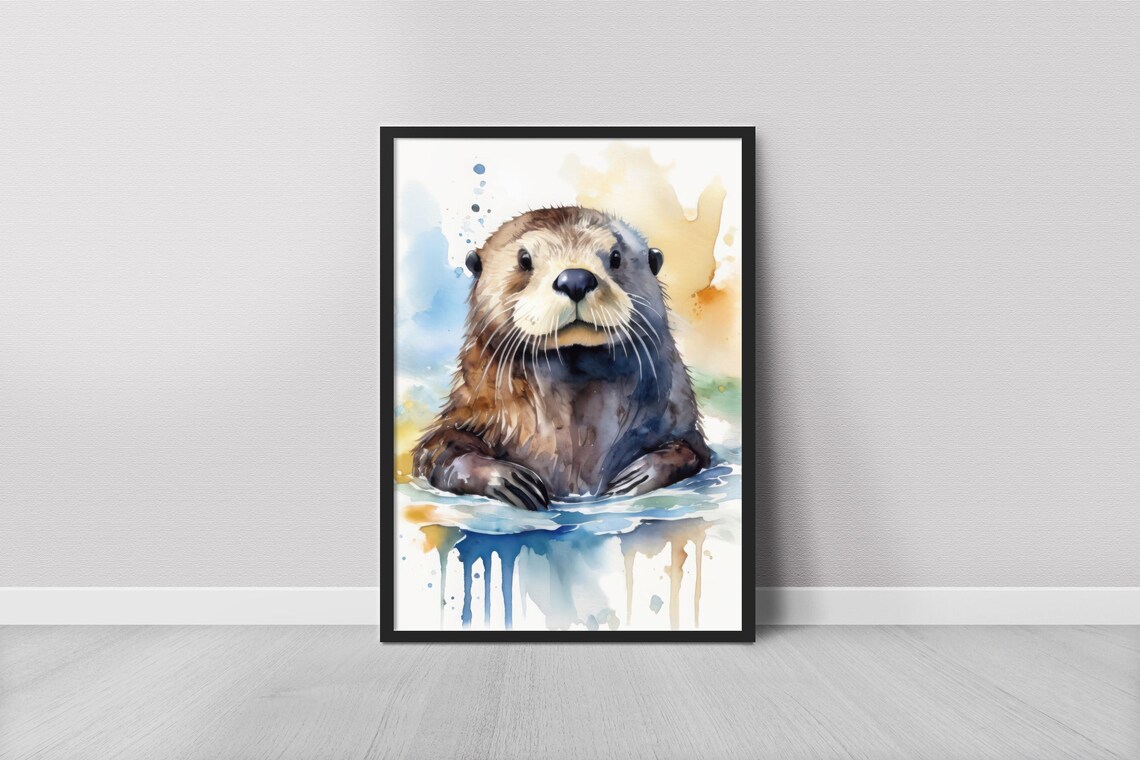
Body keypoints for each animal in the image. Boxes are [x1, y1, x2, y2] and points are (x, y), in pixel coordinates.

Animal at [412, 206, 711, 511]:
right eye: (524, 260)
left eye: (616, 257)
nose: (576, 279)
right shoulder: (473, 411)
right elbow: (438, 449)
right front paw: (511, 480)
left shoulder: (680, 418)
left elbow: (692, 449)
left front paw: (635, 477)